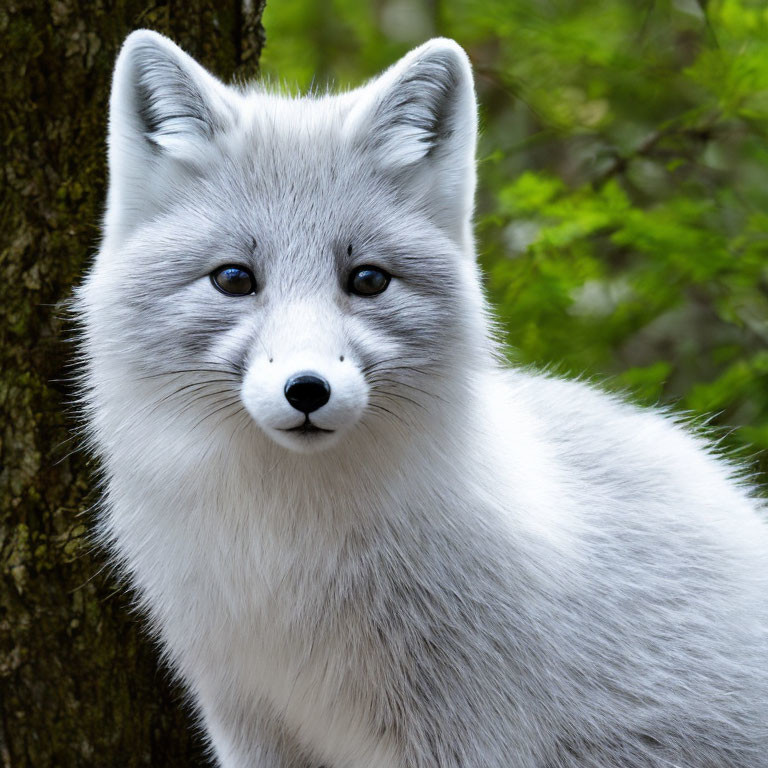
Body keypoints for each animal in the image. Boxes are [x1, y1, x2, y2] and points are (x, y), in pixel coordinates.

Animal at [76, 28, 768, 768]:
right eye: (233, 278)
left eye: (368, 279)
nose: (307, 390)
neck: (285, 552)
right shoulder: (249, 721)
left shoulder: (467, 734)